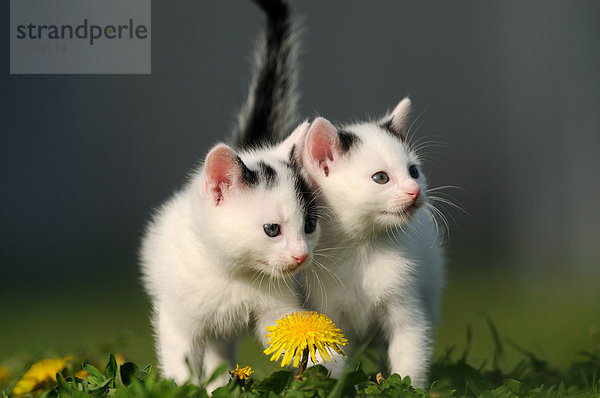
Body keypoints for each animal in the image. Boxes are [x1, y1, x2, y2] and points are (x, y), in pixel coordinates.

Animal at [140, 142, 318, 388]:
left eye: (310, 225)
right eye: (272, 229)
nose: (301, 255)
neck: (235, 273)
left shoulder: (277, 307)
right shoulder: (178, 316)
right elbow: (182, 359)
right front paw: (184, 387)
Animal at [296, 97, 446, 388]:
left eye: (414, 171)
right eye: (381, 178)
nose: (415, 191)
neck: (363, 248)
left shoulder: (405, 300)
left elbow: (409, 348)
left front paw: (408, 387)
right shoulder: (328, 310)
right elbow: (331, 357)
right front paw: (334, 385)